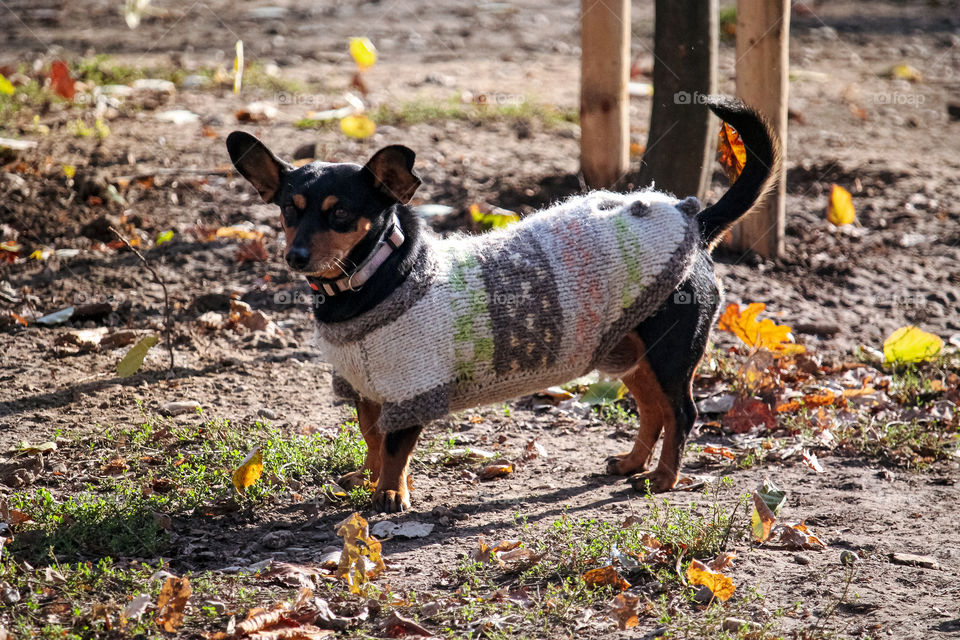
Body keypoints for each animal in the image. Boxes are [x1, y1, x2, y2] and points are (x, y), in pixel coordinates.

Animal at [227, 95, 780, 512]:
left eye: (340, 215)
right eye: (287, 212)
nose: (295, 256)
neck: (373, 279)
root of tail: (696, 221)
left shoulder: (412, 389)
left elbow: (396, 446)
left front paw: (389, 494)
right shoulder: (368, 390)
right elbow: (372, 439)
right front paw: (368, 478)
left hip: (669, 353)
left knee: (682, 412)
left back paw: (663, 478)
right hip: (630, 352)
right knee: (654, 410)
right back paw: (632, 463)